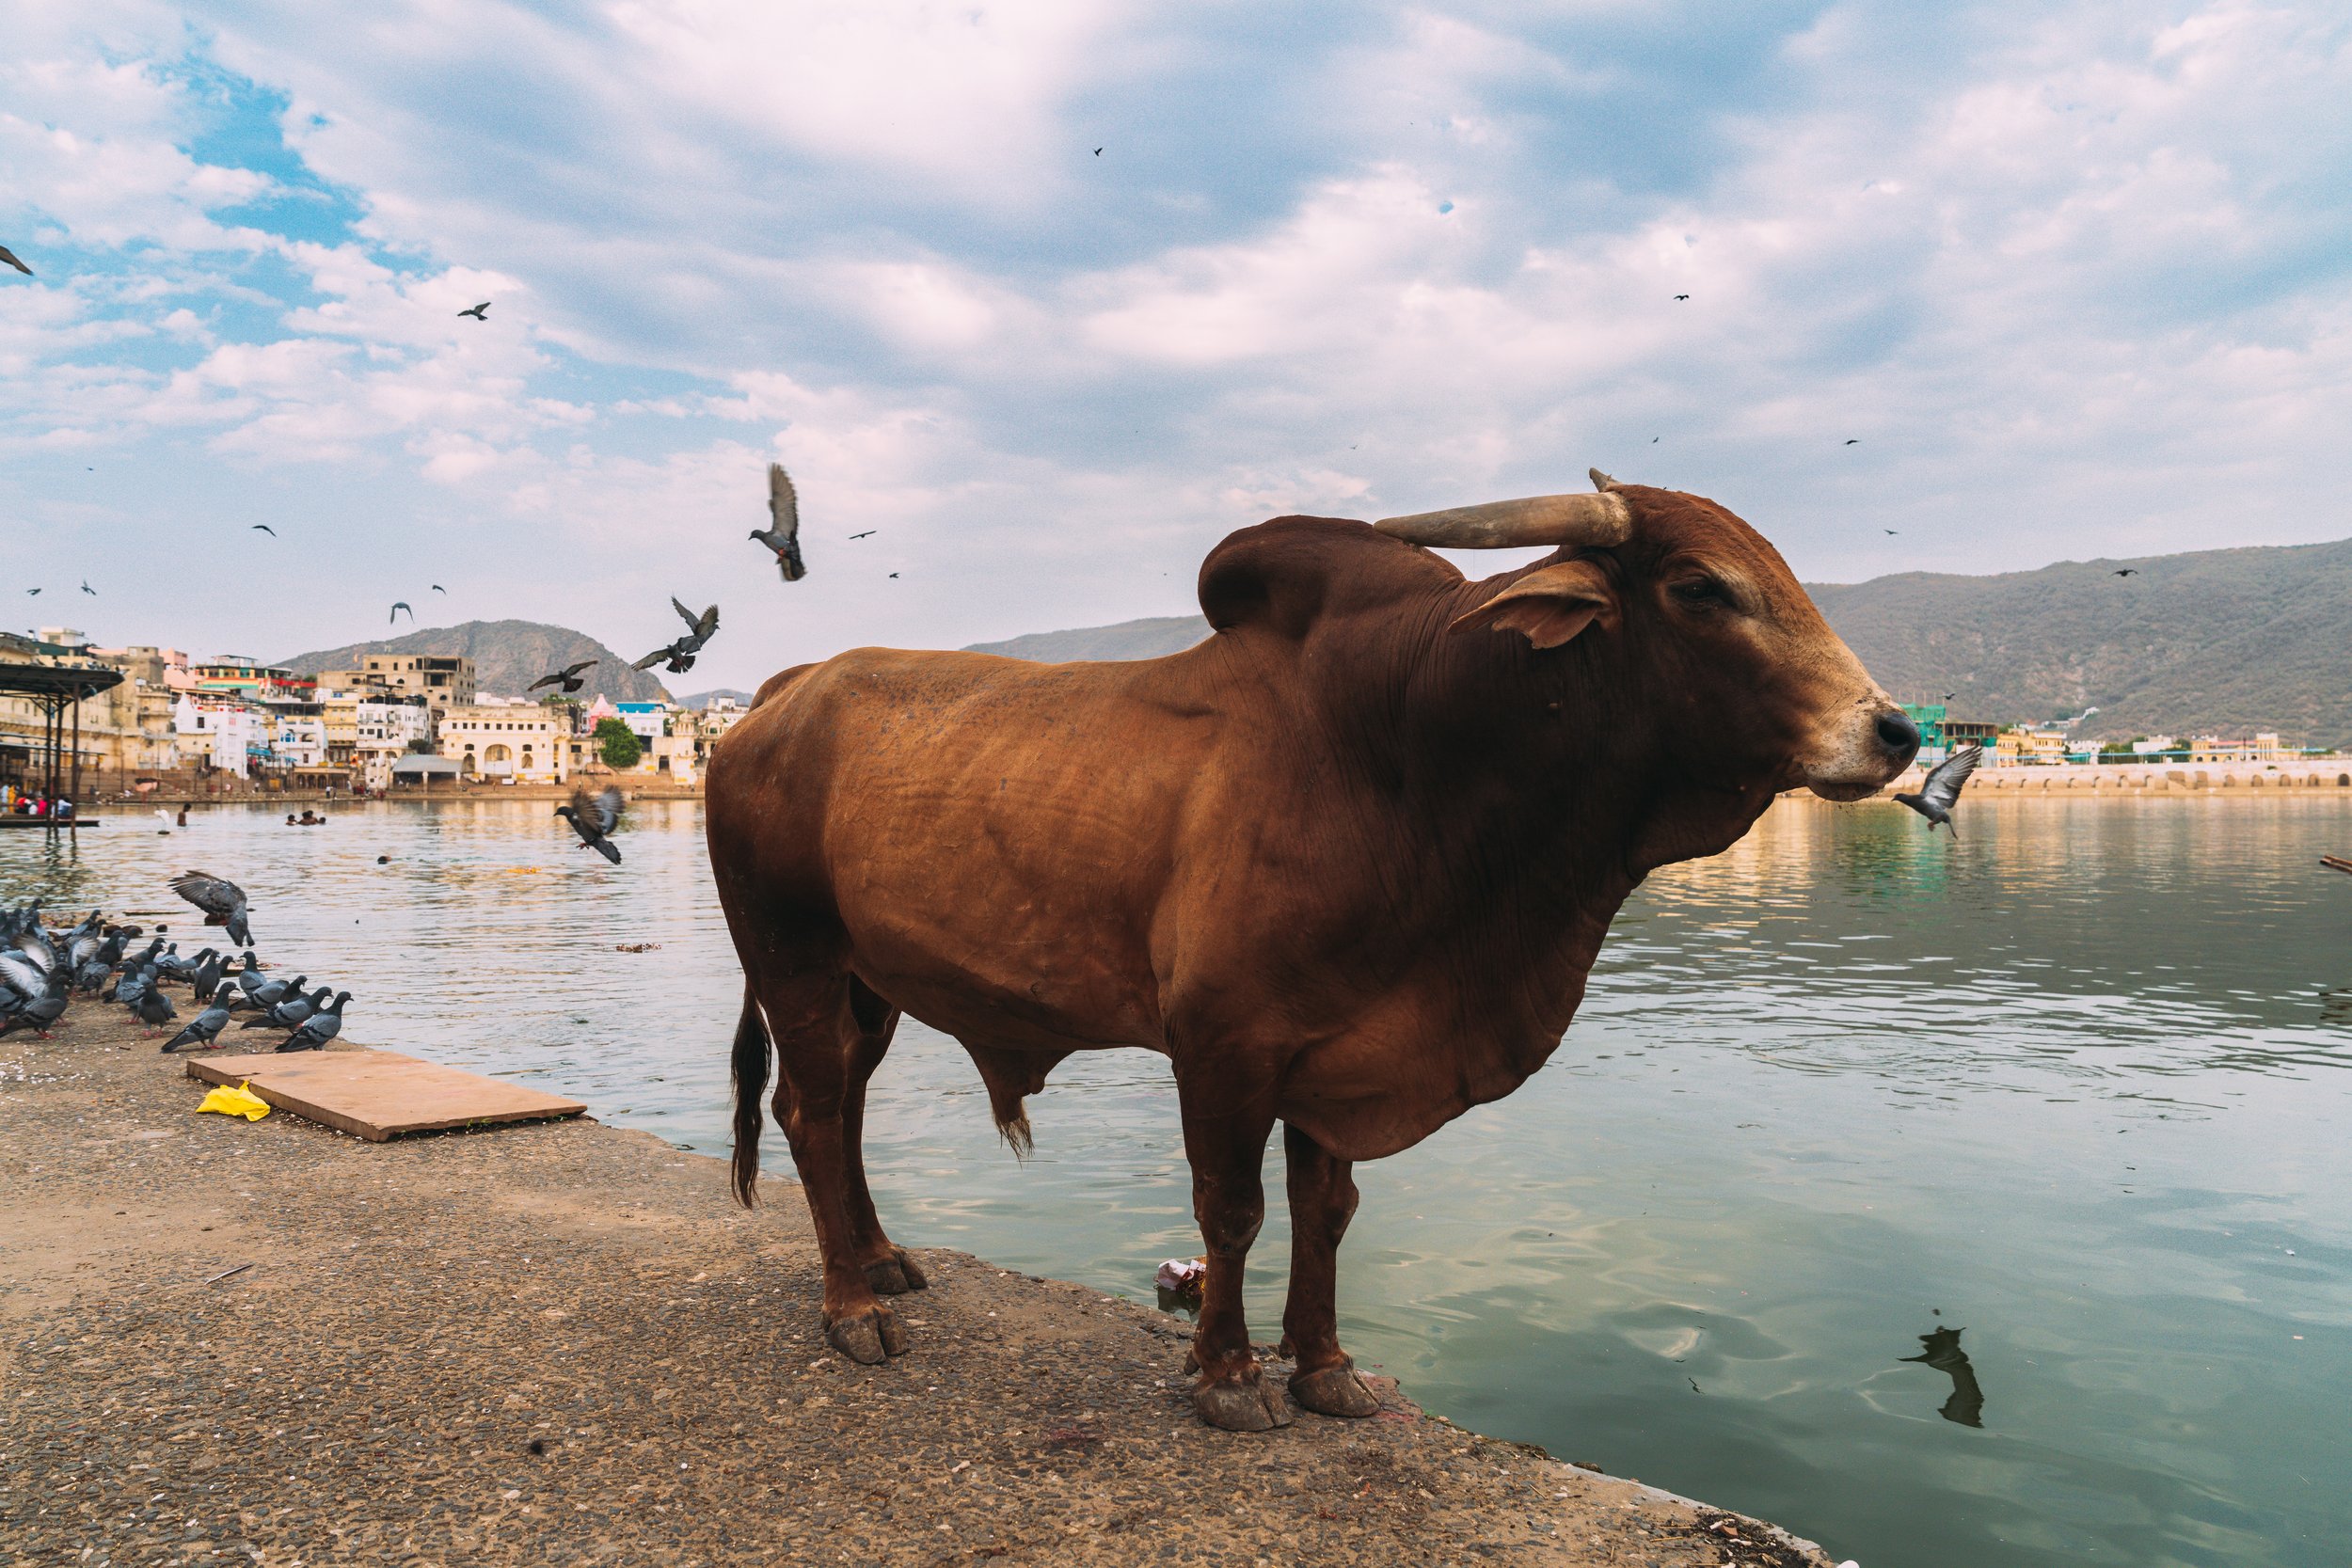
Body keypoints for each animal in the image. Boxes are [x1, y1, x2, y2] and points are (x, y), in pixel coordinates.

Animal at [707, 471, 1918, 1431]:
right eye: (1702, 587)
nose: (1898, 732)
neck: (1407, 754)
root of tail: (775, 696)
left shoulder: (1338, 1049)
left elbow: (1324, 1212)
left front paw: (1325, 1366)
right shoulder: (1224, 1044)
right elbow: (1232, 1209)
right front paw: (1229, 1374)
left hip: (867, 983)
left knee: (842, 1107)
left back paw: (878, 1258)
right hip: (791, 957)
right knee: (808, 1111)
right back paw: (851, 1307)